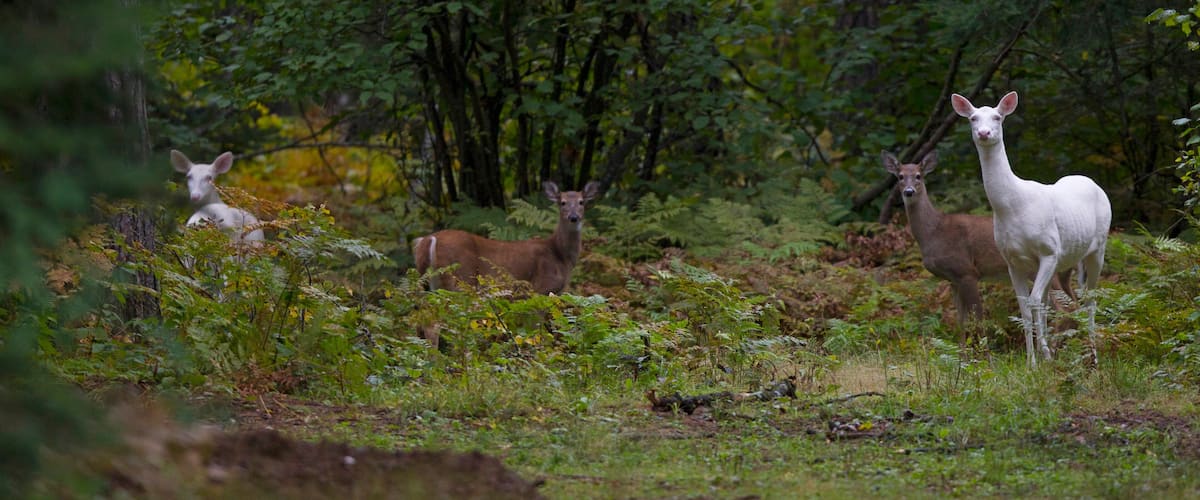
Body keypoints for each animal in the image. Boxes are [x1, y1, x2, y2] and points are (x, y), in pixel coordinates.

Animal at [414, 181, 600, 294]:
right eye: (562, 202)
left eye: (581, 202)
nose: (574, 217)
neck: (561, 256)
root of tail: (428, 239)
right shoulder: (542, 286)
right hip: (459, 277)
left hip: (429, 281)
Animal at [883, 150, 1074, 339]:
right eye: (900, 176)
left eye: (918, 176)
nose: (909, 191)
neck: (934, 233)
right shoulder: (953, 279)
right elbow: (961, 322)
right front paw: (962, 349)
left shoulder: (967, 271)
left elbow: (979, 320)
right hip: (1063, 274)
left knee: (1065, 309)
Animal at [951, 91, 1111, 366]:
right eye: (973, 118)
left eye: (998, 117)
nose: (984, 133)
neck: (1014, 205)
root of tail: (1093, 183)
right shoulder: (1012, 260)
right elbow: (1026, 308)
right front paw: (1032, 362)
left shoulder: (1049, 250)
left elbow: (1035, 302)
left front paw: (1039, 358)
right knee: (1054, 301)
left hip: (1097, 247)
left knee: (1089, 299)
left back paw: (1093, 357)